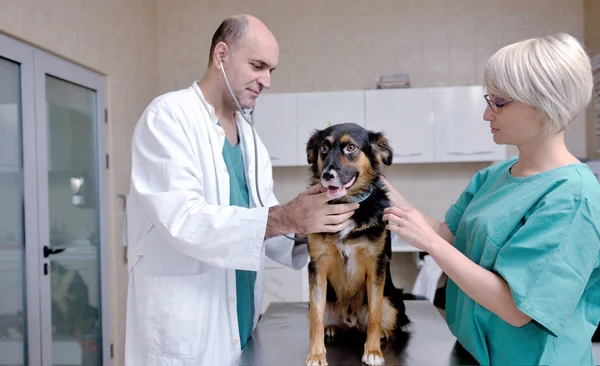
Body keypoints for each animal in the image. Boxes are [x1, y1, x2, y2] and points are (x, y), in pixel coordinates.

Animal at [304, 123, 408, 366]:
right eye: (323, 147)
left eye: (350, 147)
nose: (327, 175)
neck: (346, 205)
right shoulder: (317, 266)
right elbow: (315, 319)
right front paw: (316, 354)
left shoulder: (376, 265)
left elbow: (374, 315)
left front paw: (373, 351)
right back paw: (331, 328)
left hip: (393, 302)